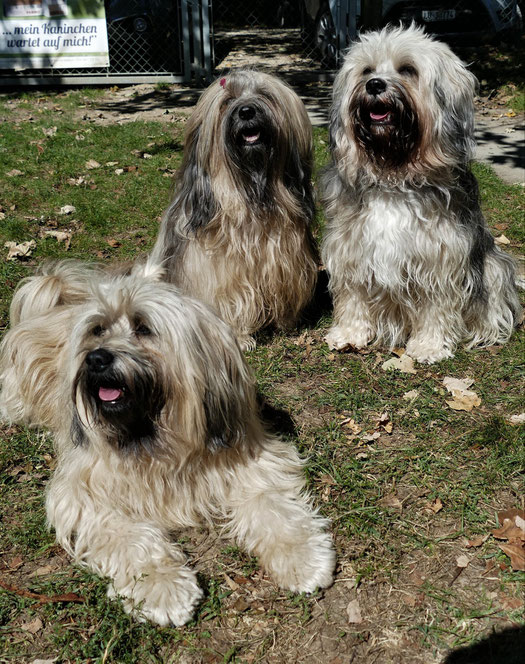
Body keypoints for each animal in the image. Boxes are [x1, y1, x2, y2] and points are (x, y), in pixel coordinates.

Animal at [0, 262, 334, 624]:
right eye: (98, 330)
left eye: (144, 328)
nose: (96, 359)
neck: (153, 433)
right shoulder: (86, 492)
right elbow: (130, 537)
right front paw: (163, 586)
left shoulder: (252, 459)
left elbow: (273, 506)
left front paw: (301, 556)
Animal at [320, 24, 520, 364]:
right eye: (367, 70)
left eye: (407, 70)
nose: (374, 84)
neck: (394, 176)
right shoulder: (351, 247)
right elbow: (352, 294)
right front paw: (349, 333)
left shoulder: (441, 255)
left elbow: (436, 304)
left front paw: (429, 345)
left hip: (493, 266)